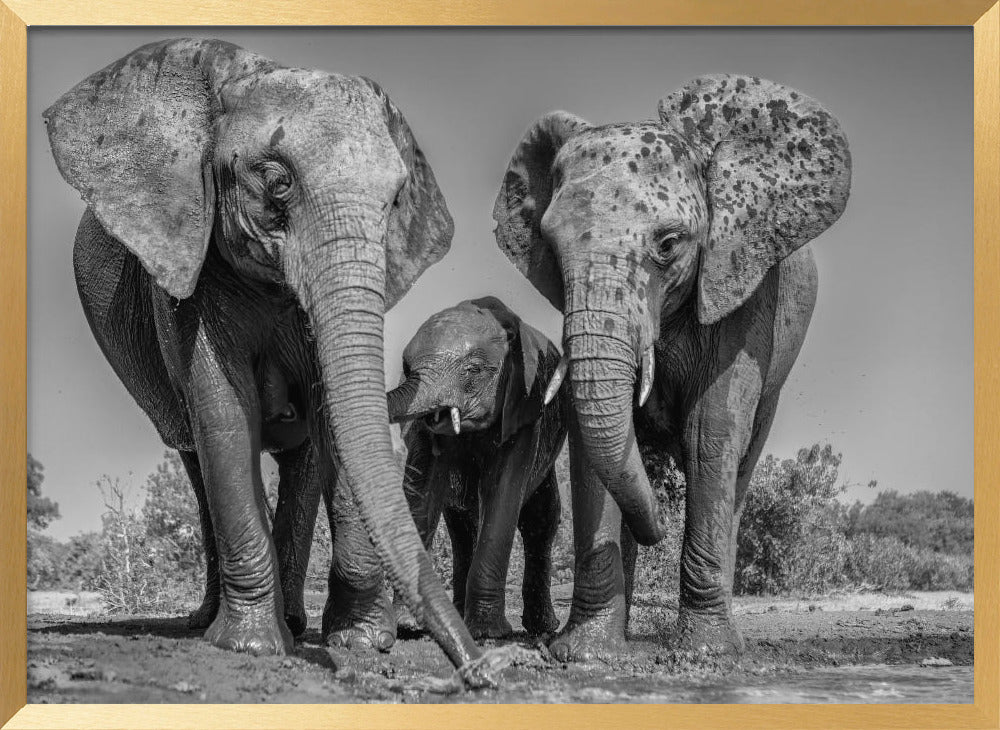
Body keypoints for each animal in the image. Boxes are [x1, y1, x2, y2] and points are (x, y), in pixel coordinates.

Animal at [44, 38, 490, 682]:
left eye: (395, 201)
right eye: (277, 183)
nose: (484, 669)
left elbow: (331, 418)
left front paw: (360, 642)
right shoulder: (187, 270)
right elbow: (225, 415)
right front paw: (249, 647)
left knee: (302, 461)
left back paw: (297, 623)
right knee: (196, 457)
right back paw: (210, 623)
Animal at [385, 297, 567, 639]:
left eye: (473, 370)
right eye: (406, 368)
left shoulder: (523, 408)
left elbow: (502, 494)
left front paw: (488, 633)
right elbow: (423, 494)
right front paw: (407, 625)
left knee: (541, 518)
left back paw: (543, 629)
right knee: (461, 526)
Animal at [493, 74, 851, 660]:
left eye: (668, 244)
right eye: (552, 247)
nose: (656, 528)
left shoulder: (744, 288)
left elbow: (711, 431)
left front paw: (707, 652)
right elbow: (591, 440)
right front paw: (585, 652)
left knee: (739, 467)